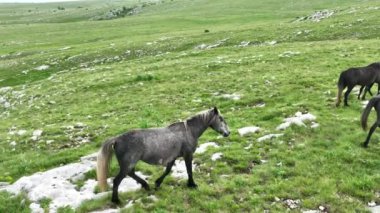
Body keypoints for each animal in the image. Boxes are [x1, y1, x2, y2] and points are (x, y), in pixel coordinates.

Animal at [96, 107, 230, 204]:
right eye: (221, 118)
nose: (228, 133)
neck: (189, 132)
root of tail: (117, 139)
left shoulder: (173, 157)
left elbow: (167, 171)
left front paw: (157, 183)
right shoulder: (187, 155)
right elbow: (189, 171)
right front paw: (192, 185)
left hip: (129, 164)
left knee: (131, 174)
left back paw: (146, 186)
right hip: (128, 164)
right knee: (117, 180)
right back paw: (116, 200)